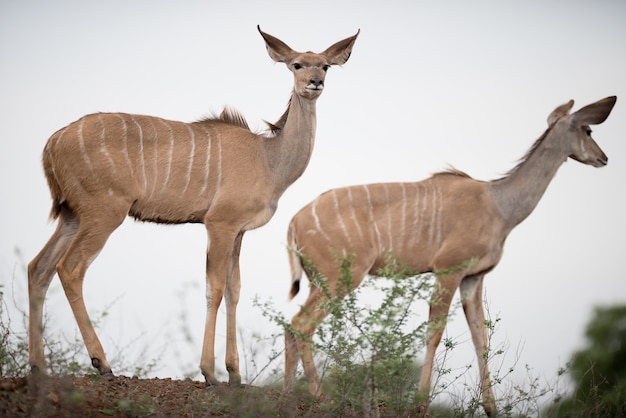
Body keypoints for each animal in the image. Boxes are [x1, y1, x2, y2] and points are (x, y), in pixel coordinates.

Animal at [28, 25, 360, 386]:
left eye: (325, 66)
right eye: (297, 64)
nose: (315, 82)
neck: (268, 159)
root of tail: (53, 142)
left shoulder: (238, 231)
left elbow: (234, 289)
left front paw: (234, 374)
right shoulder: (219, 224)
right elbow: (214, 288)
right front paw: (210, 373)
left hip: (73, 216)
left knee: (38, 268)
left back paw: (39, 367)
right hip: (103, 214)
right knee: (70, 268)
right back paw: (102, 363)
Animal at [284, 97, 616, 414]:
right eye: (588, 130)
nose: (604, 158)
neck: (499, 205)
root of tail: (294, 222)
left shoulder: (473, 277)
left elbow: (480, 336)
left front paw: (491, 408)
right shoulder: (449, 270)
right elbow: (435, 331)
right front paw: (420, 403)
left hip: (319, 281)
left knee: (291, 326)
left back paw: (287, 394)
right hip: (340, 278)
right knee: (302, 324)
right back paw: (320, 397)